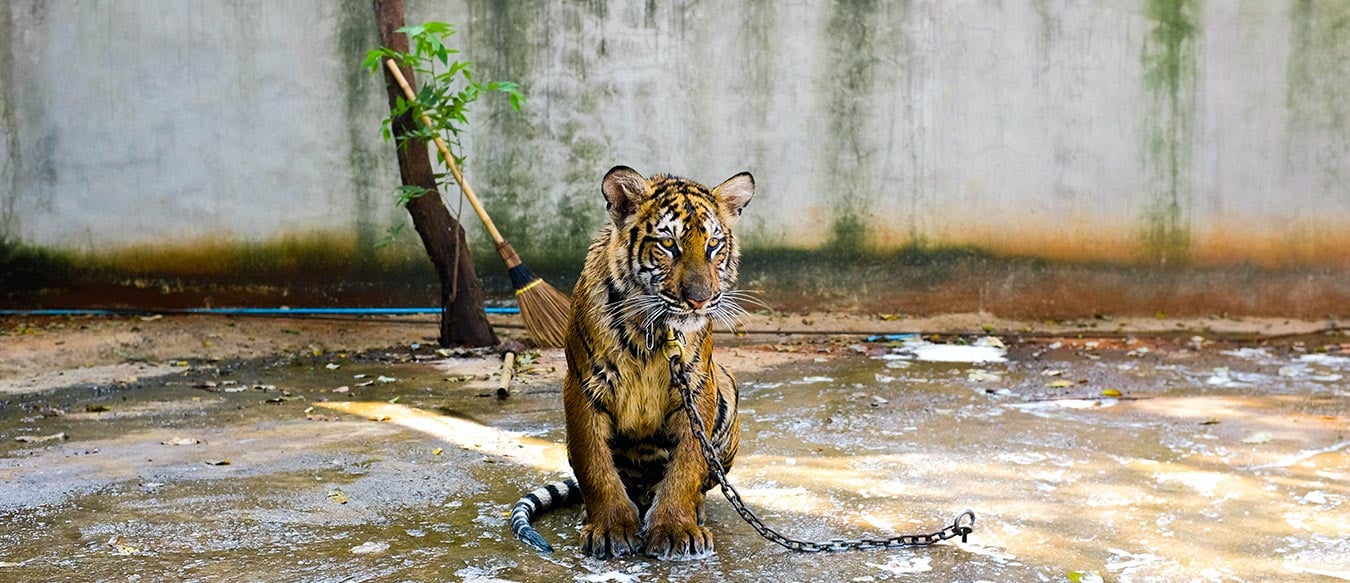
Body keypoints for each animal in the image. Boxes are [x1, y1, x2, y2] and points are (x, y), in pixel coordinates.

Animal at [507, 165, 756, 561]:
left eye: (714, 244)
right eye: (669, 245)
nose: (700, 301)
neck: (650, 330)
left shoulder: (696, 387)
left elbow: (687, 466)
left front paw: (677, 529)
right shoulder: (584, 387)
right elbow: (594, 466)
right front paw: (610, 528)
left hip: (727, 389)